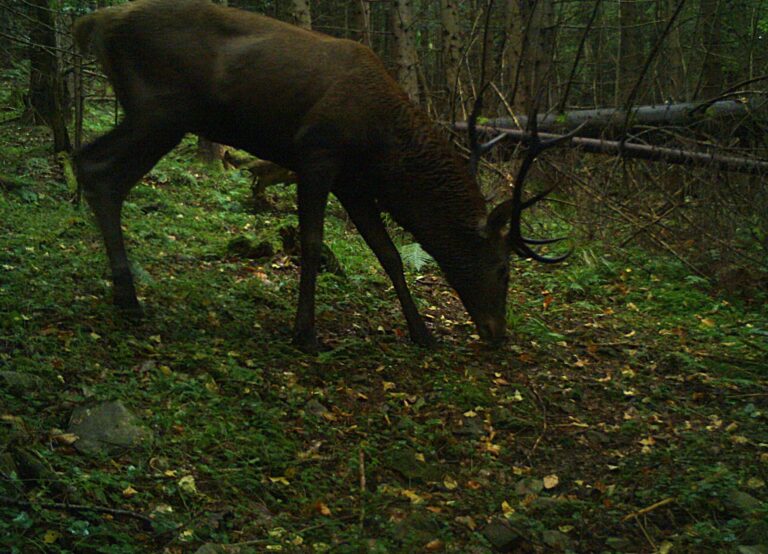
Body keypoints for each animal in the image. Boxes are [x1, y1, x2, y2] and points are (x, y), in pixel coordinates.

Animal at [73, 0, 564, 350]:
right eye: (503, 269)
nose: (498, 334)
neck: (382, 148)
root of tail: (96, 22)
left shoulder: (354, 183)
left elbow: (388, 254)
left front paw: (423, 333)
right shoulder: (317, 153)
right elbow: (311, 245)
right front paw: (305, 332)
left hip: (156, 115)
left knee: (98, 169)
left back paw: (124, 296)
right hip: (160, 110)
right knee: (96, 166)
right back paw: (128, 298)